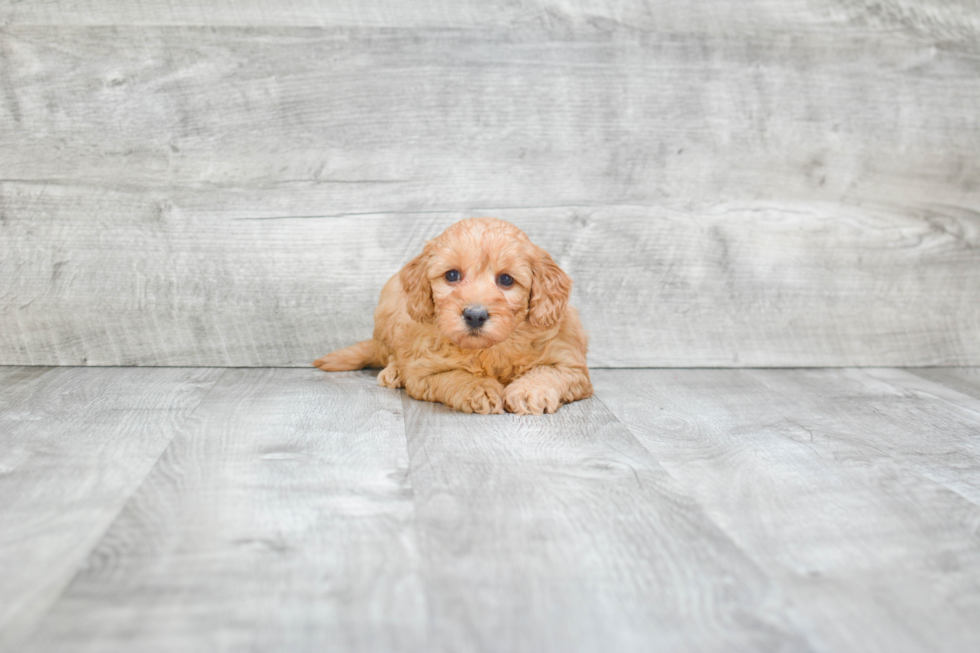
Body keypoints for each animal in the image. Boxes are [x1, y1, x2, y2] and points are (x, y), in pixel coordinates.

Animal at [316, 218, 588, 412]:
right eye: (452, 275)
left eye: (506, 280)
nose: (475, 315)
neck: (489, 349)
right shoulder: (424, 370)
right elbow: (455, 376)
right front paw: (480, 389)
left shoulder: (570, 362)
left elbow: (549, 372)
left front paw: (530, 392)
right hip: (388, 307)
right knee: (389, 353)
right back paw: (394, 371)